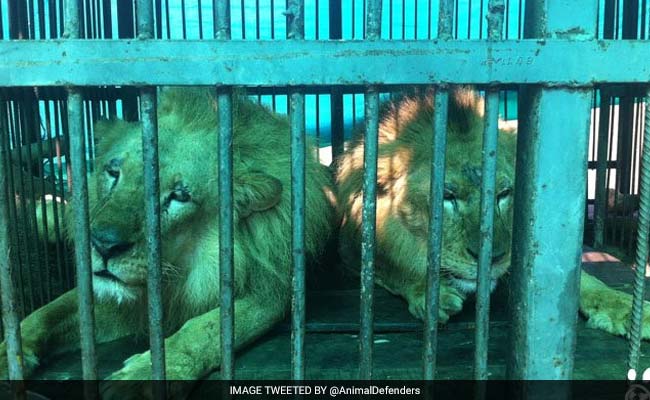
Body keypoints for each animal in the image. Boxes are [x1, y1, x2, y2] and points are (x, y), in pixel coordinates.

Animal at [0, 89, 334, 398]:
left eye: (180, 196)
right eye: (113, 172)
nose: (103, 245)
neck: (182, 268)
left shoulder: (269, 295)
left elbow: (203, 329)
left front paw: (144, 376)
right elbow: (50, 311)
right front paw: (9, 354)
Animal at [334, 86, 648, 338]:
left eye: (503, 194)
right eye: (447, 196)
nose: (492, 258)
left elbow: (582, 279)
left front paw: (628, 310)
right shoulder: (350, 245)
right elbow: (394, 263)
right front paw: (430, 292)